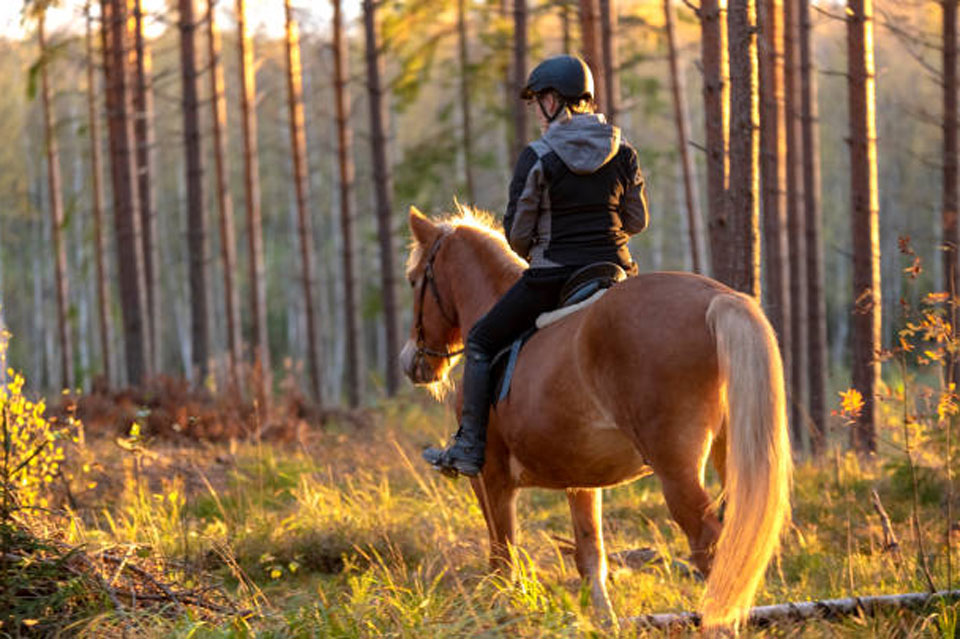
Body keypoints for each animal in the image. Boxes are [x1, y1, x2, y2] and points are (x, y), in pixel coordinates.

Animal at [402, 206, 792, 632]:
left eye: (414, 280)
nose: (413, 363)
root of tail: (716, 298)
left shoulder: (491, 478)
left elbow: (502, 557)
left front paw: (500, 614)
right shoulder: (580, 480)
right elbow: (590, 554)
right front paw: (604, 622)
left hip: (676, 469)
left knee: (711, 548)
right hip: (729, 454)